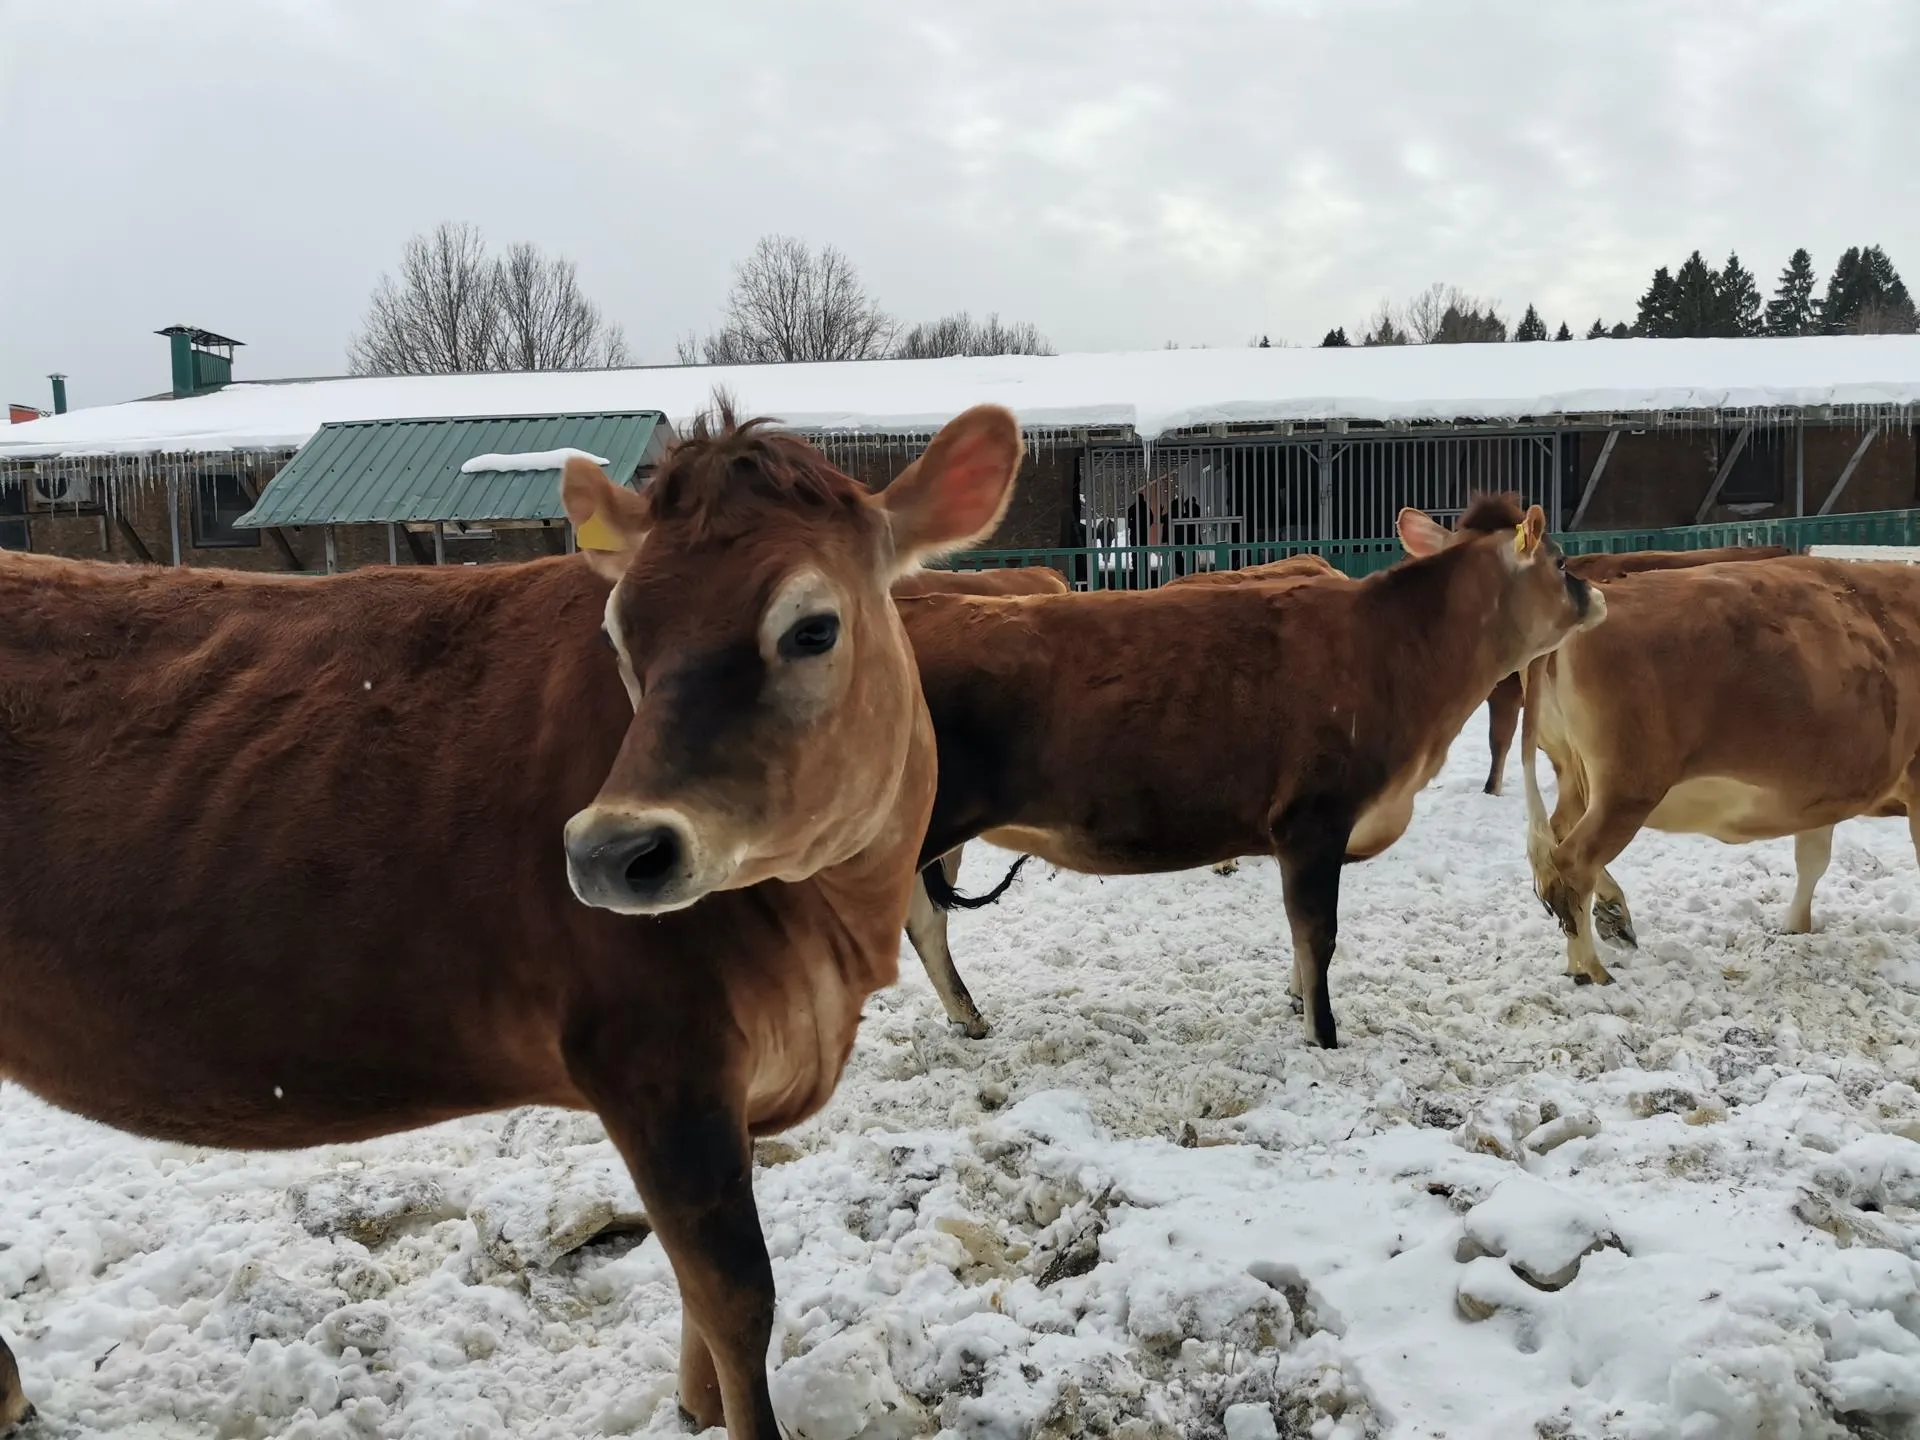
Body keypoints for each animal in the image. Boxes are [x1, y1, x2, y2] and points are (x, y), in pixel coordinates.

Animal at [1520, 556, 1920, 990]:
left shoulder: (1822, 795)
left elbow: (1812, 859)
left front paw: (1795, 926)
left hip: (1575, 774)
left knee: (1559, 835)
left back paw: (1613, 916)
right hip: (1628, 789)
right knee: (1573, 860)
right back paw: (1590, 967)